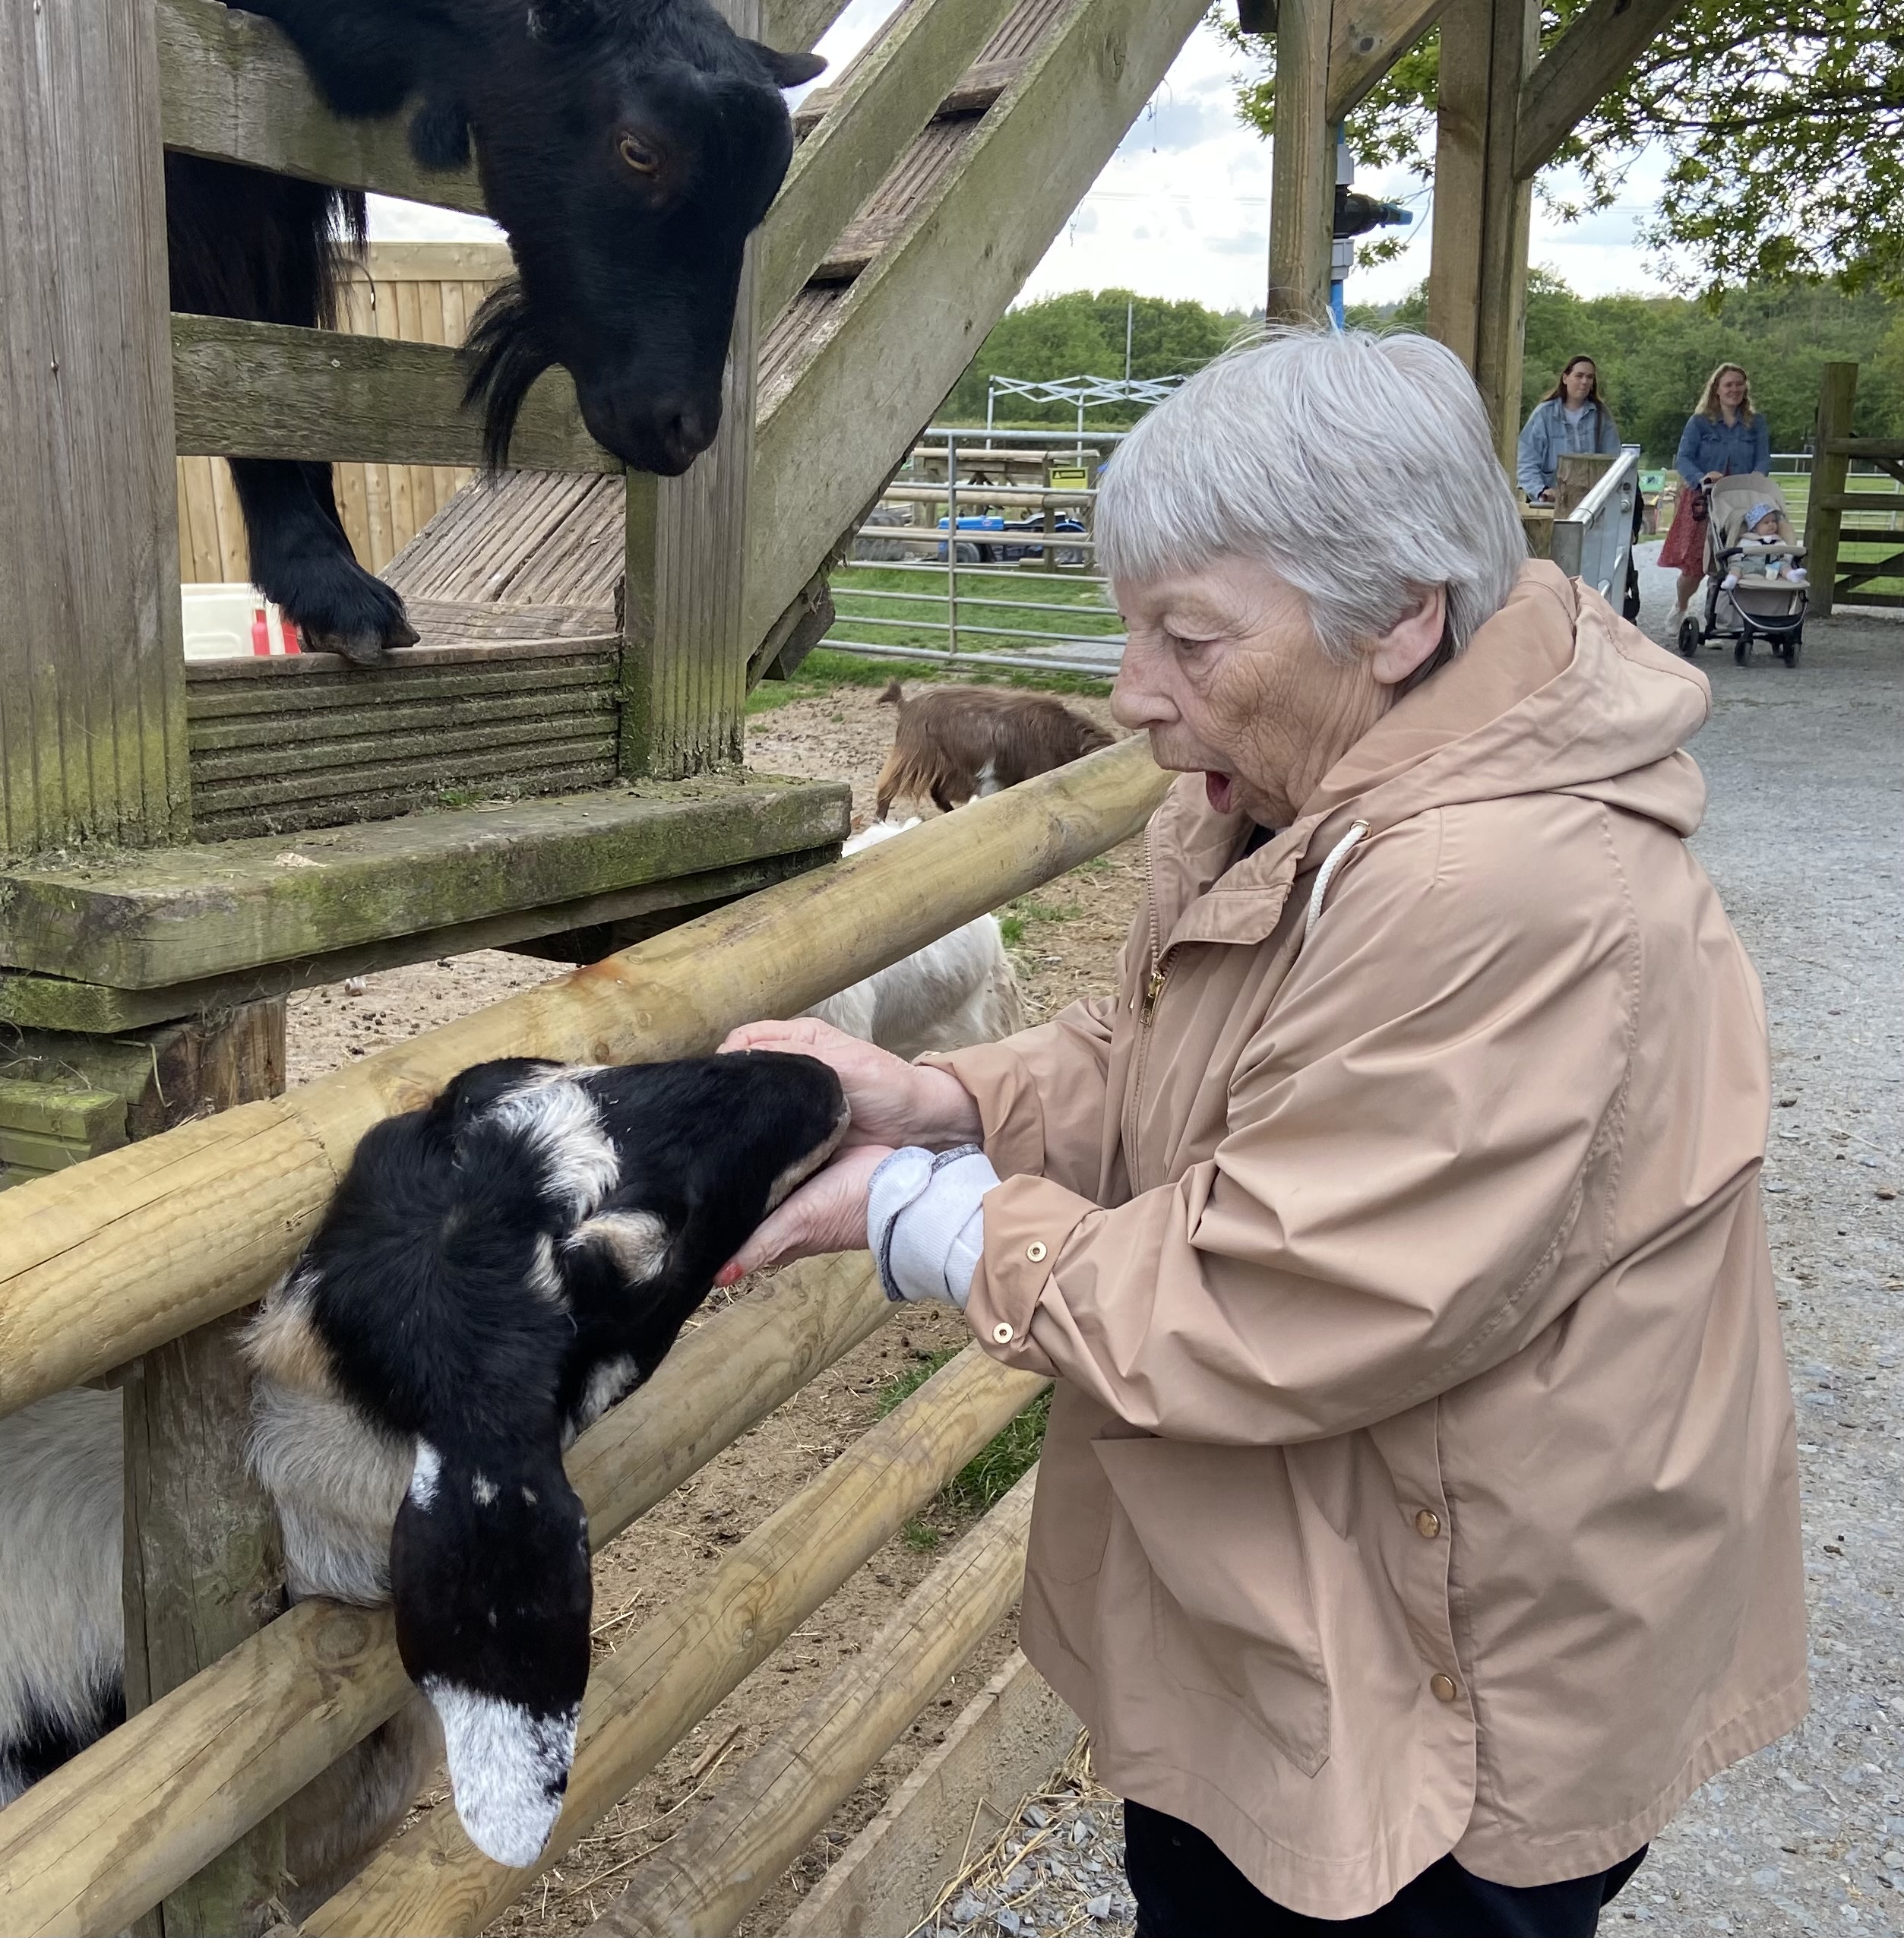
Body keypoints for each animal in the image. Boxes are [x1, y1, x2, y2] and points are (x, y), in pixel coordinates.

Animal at [874, 683, 1114, 820]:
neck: (1063, 735)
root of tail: (906, 705)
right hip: (916, 758)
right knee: (887, 788)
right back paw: (881, 820)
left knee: (937, 793)